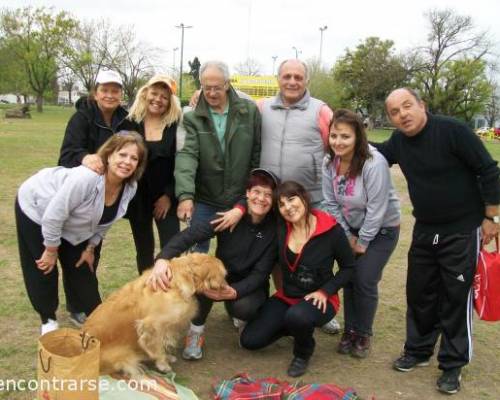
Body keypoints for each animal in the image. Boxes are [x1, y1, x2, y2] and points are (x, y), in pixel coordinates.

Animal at [83, 253, 227, 378]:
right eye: (223, 276)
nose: (227, 287)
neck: (175, 281)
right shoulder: (152, 325)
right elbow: (156, 346)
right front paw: (163, 364)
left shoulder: (165, 327)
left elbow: (162, 343)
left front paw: (167, 358)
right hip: (121, 354)